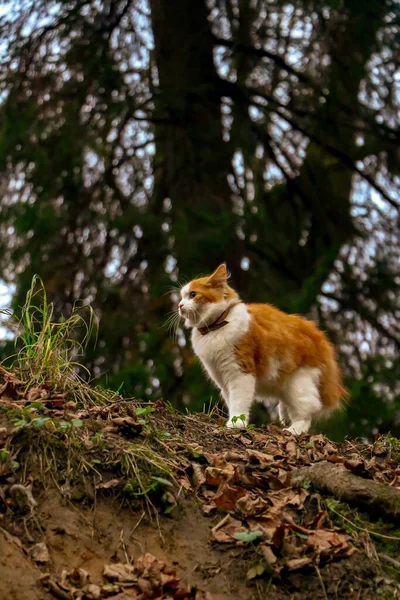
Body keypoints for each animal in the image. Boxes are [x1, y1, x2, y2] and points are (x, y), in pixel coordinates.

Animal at [178, 264, 346, 434]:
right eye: (181, 297)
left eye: (193, 295)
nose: (179, 305)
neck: (216, 329)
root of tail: (320, 336)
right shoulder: (222, 379)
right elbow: (231, 401)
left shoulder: (240, 372)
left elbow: (239, 402)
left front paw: (236, 424)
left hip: (298, 384)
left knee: (306, 414)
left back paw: (293, 430)